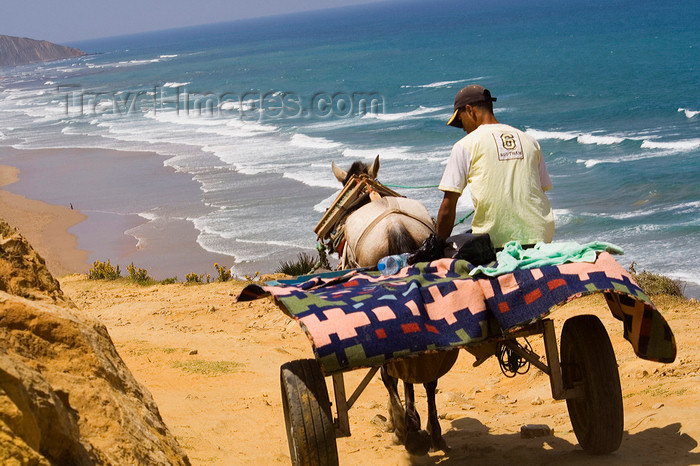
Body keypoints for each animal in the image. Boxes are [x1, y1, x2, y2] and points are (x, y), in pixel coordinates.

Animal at [332, 157, 462, 456]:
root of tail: (395, 226)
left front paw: (401, 419)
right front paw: (414, 417)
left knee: (389, 372)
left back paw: (403, 429)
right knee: (429, 375)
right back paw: (433, 432)